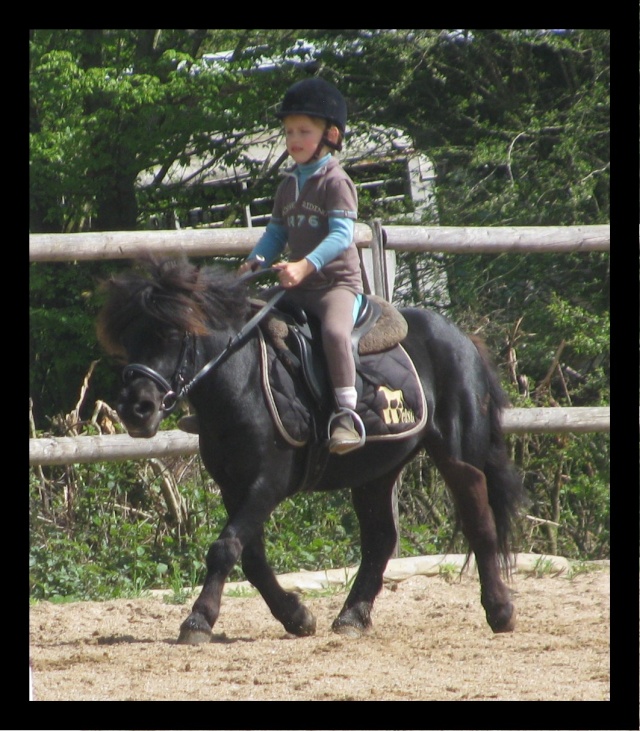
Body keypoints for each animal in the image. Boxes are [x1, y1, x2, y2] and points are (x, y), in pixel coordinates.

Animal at [96, 258, 524, 648]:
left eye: (170, 334)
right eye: (129, 339)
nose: (136, 409)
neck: (242, 380)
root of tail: (463, 338)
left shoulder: (267, 483)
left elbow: (224, 548)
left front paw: (198, 620)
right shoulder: (233, 486)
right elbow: (250, 557)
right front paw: (296, 616)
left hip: (458, 456)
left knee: (479, 522)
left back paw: (500, 610)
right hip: (375, 471)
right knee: (381, 539)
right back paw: (352, 616)